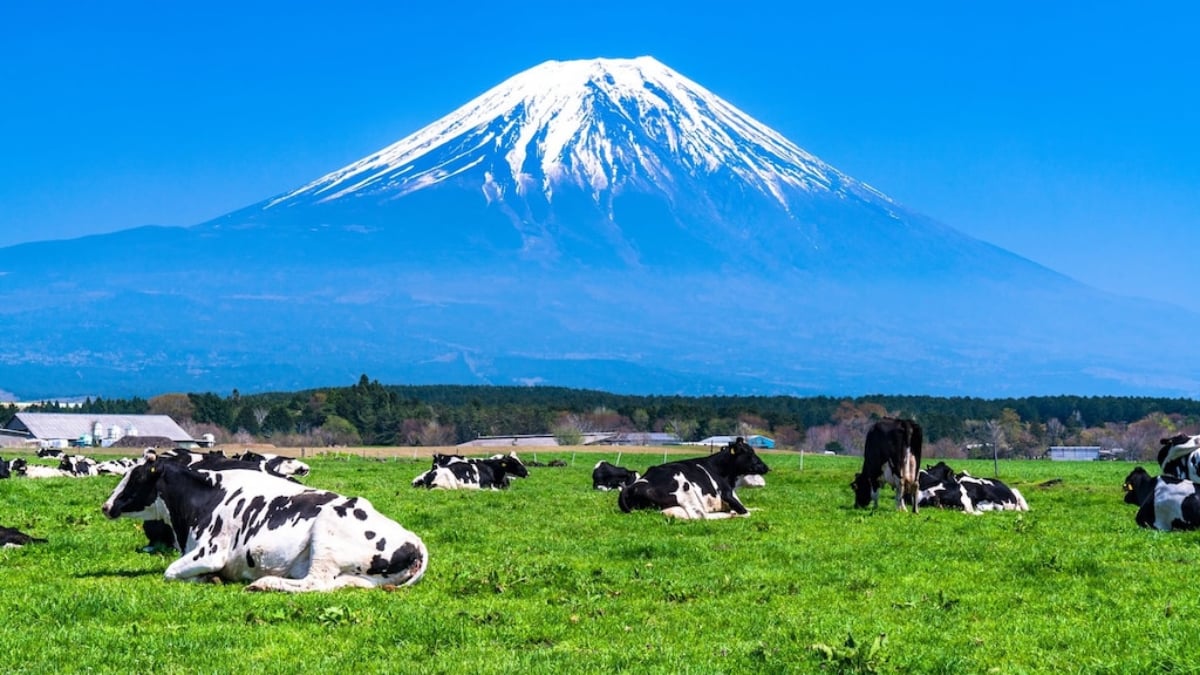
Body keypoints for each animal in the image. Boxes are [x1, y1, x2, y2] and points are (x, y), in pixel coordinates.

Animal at [99, 451, 427, 588]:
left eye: (136, 476)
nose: (106, 506)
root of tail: (416, 543)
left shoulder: (211, 553)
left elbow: (170, 572)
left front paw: (209, 578)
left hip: (326, 537)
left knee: (316, 584)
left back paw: (264, 583)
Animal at [614, 432, 772, 516]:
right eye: (750, 454)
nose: (766, 467)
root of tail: (631, 487)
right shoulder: (728, 495)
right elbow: (746, 511)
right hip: (686, 490)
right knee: (700, 516)